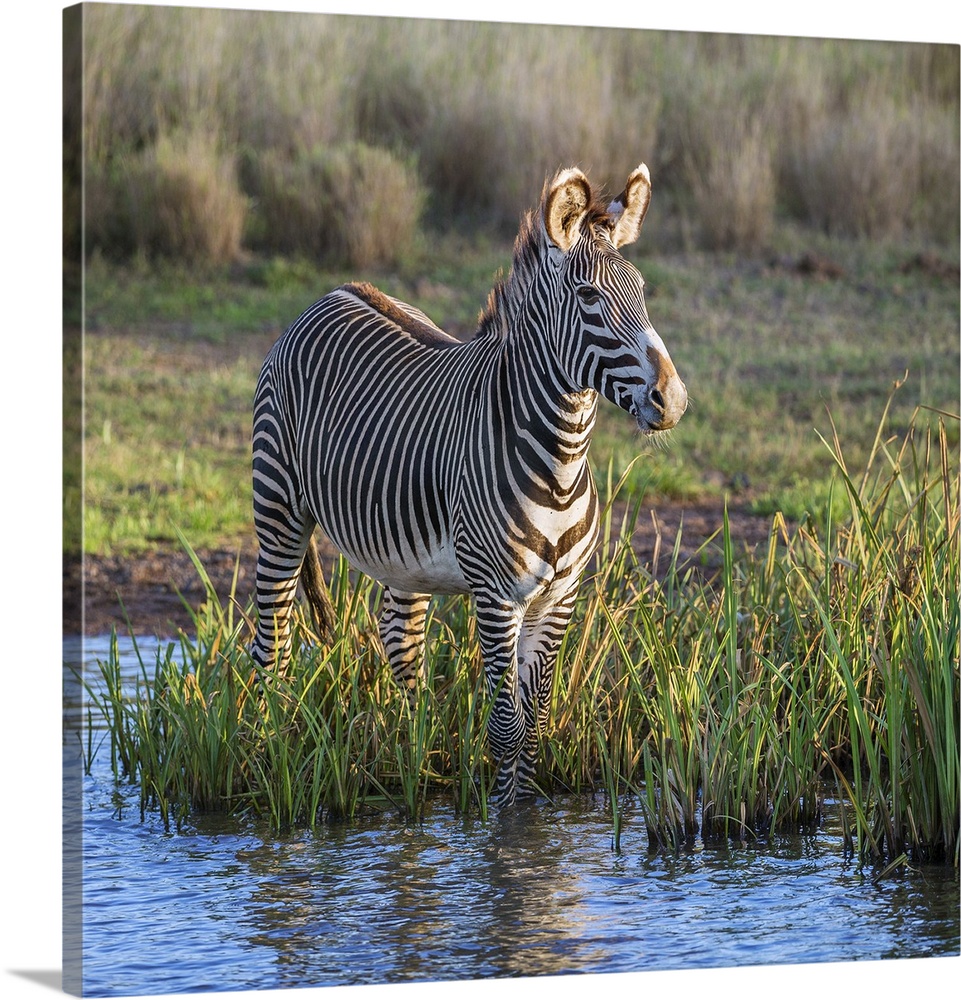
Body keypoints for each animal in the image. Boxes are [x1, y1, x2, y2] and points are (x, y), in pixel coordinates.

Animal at [248, 162, 684, 804]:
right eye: (587, 298)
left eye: (643, 292)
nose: (672, 400)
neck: (561, 463)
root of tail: (333, 292)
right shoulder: (497, 597)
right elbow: (506, 728)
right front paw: (501, 819)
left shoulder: (558, 599)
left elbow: (536, 726)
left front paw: (524, 816)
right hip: (278, 510)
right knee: (271, 646)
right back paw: (269, 751)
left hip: (402, 554)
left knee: (400, 642)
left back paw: (410, 759)